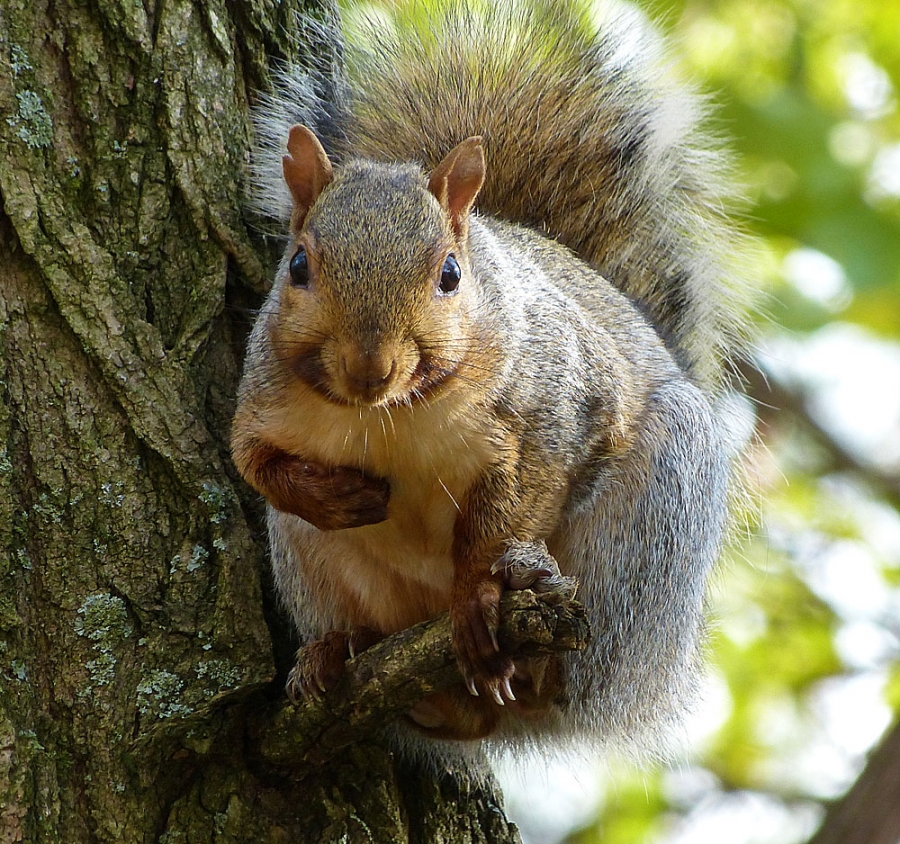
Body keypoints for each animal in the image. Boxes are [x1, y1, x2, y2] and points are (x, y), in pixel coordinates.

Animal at [232, 0, 750, 750]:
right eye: (297, 265)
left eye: (450, 274)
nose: (368, 368)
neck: (393, 414)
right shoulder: (262, 401)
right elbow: (254, 463)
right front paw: (340, 497)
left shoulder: (558, 406)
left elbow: (514, 505)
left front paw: (479, 591)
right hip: (311, 565)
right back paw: (339, 654)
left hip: (648, 531)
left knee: (576, 676)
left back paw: (533, 650)